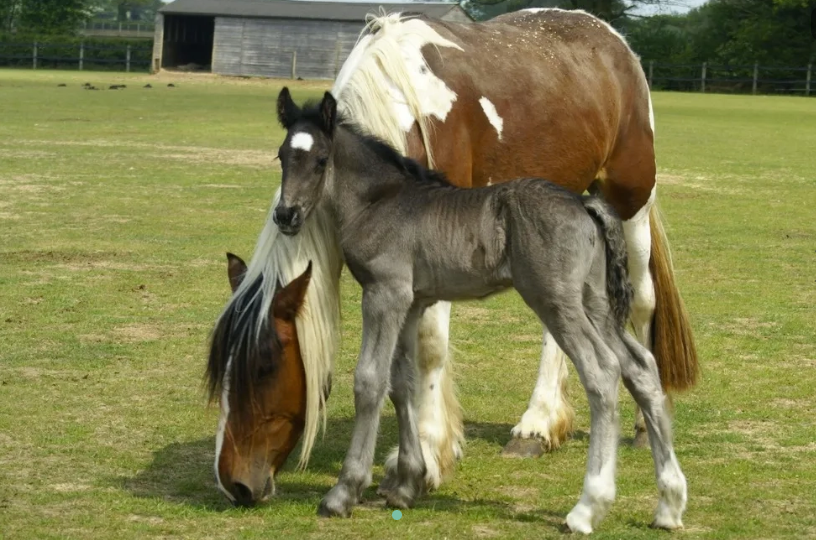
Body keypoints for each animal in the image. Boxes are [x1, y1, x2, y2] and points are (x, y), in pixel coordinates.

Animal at [272, 87, 687, 533]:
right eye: (281, 156)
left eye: (320, 159)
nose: (286, 215)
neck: (379, 202)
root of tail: (584, 203)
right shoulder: (412, 302)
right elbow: (402, 383)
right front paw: (407, 484)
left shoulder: (385, 294)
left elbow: (369, 381)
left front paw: (344, 491)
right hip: (595, 303)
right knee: (640, 367)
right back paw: (669, 504)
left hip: (557, 302)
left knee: (603, 371)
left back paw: (588, 507)